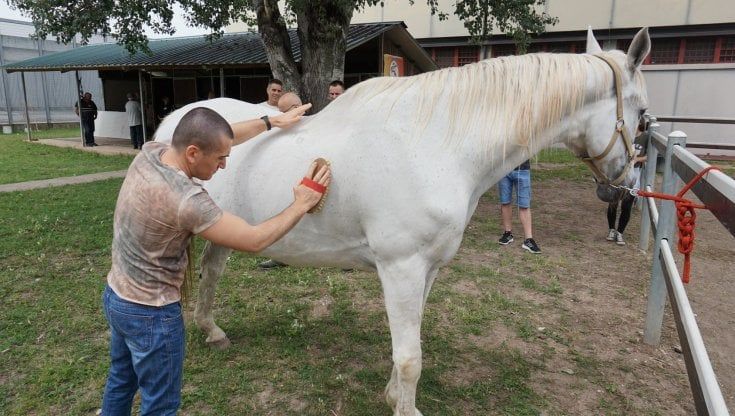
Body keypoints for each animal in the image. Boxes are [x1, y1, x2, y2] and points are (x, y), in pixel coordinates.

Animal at [155, 28, 651, 416]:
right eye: (644, 115)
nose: (624, 186)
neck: (436, 145)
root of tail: (170, 126)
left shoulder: (425, 270)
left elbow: (406, 352)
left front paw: (394, 397)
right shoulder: (401, 267)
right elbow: (411, 357)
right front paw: (404, 406)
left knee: (211, 273)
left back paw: (212, 331)